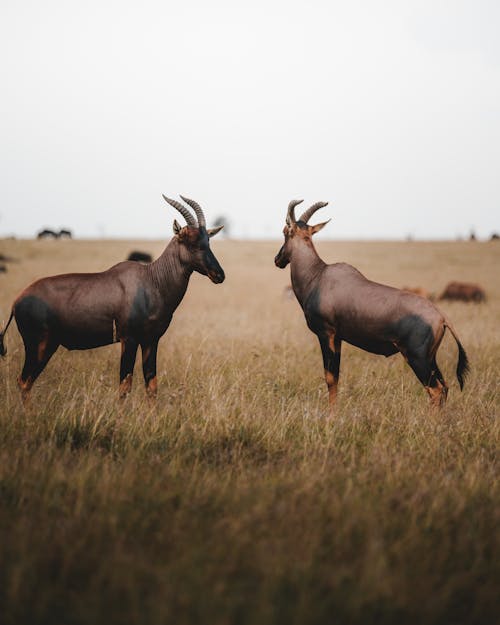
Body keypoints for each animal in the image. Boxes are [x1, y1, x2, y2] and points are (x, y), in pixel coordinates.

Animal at [0, 193, 225, 402]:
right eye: (190, 242)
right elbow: (124, 386)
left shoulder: (151, 340)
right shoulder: (129, 339)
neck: (151, 279)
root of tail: (16, 302)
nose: (219, 275)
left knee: (25, 382)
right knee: (24, 381)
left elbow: (151, 386)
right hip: (40, 345)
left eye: (208, 241)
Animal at [274, 200, 468, 414]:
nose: (278, 260)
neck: (318, 275)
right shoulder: (338, 338)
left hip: (418, 358)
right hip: (431, 358)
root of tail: (441, 316)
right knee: (445, 387)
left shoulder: (326, 334)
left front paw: (331, 415)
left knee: (435, 389)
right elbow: (336, 377)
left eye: (285, 231)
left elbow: (330, 378)